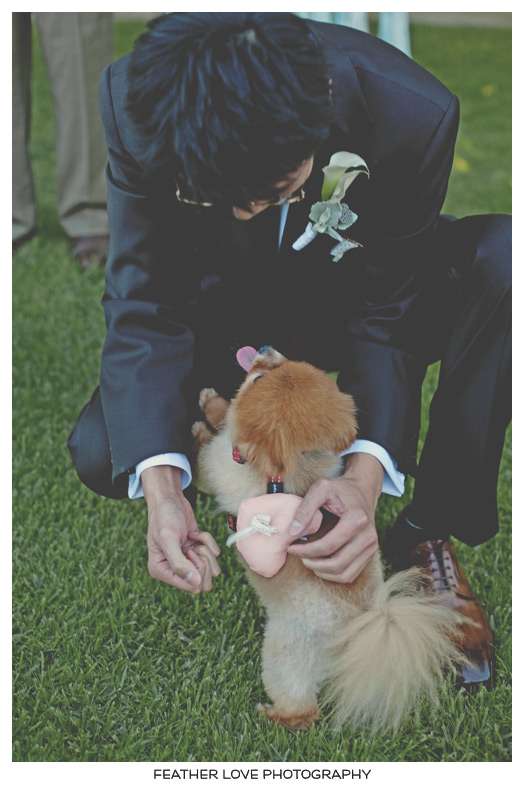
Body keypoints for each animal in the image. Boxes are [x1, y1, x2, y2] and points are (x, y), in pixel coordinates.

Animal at [192, 346, 467, 731]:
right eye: (286, 361)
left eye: (259, 379)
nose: (264, 349)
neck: (291, 476)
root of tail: (358, 629)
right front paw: (214, 406)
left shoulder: (221, 465)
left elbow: (214, 445)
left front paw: (206, 415)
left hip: (284, 653)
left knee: (303, 710)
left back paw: (271, 715)